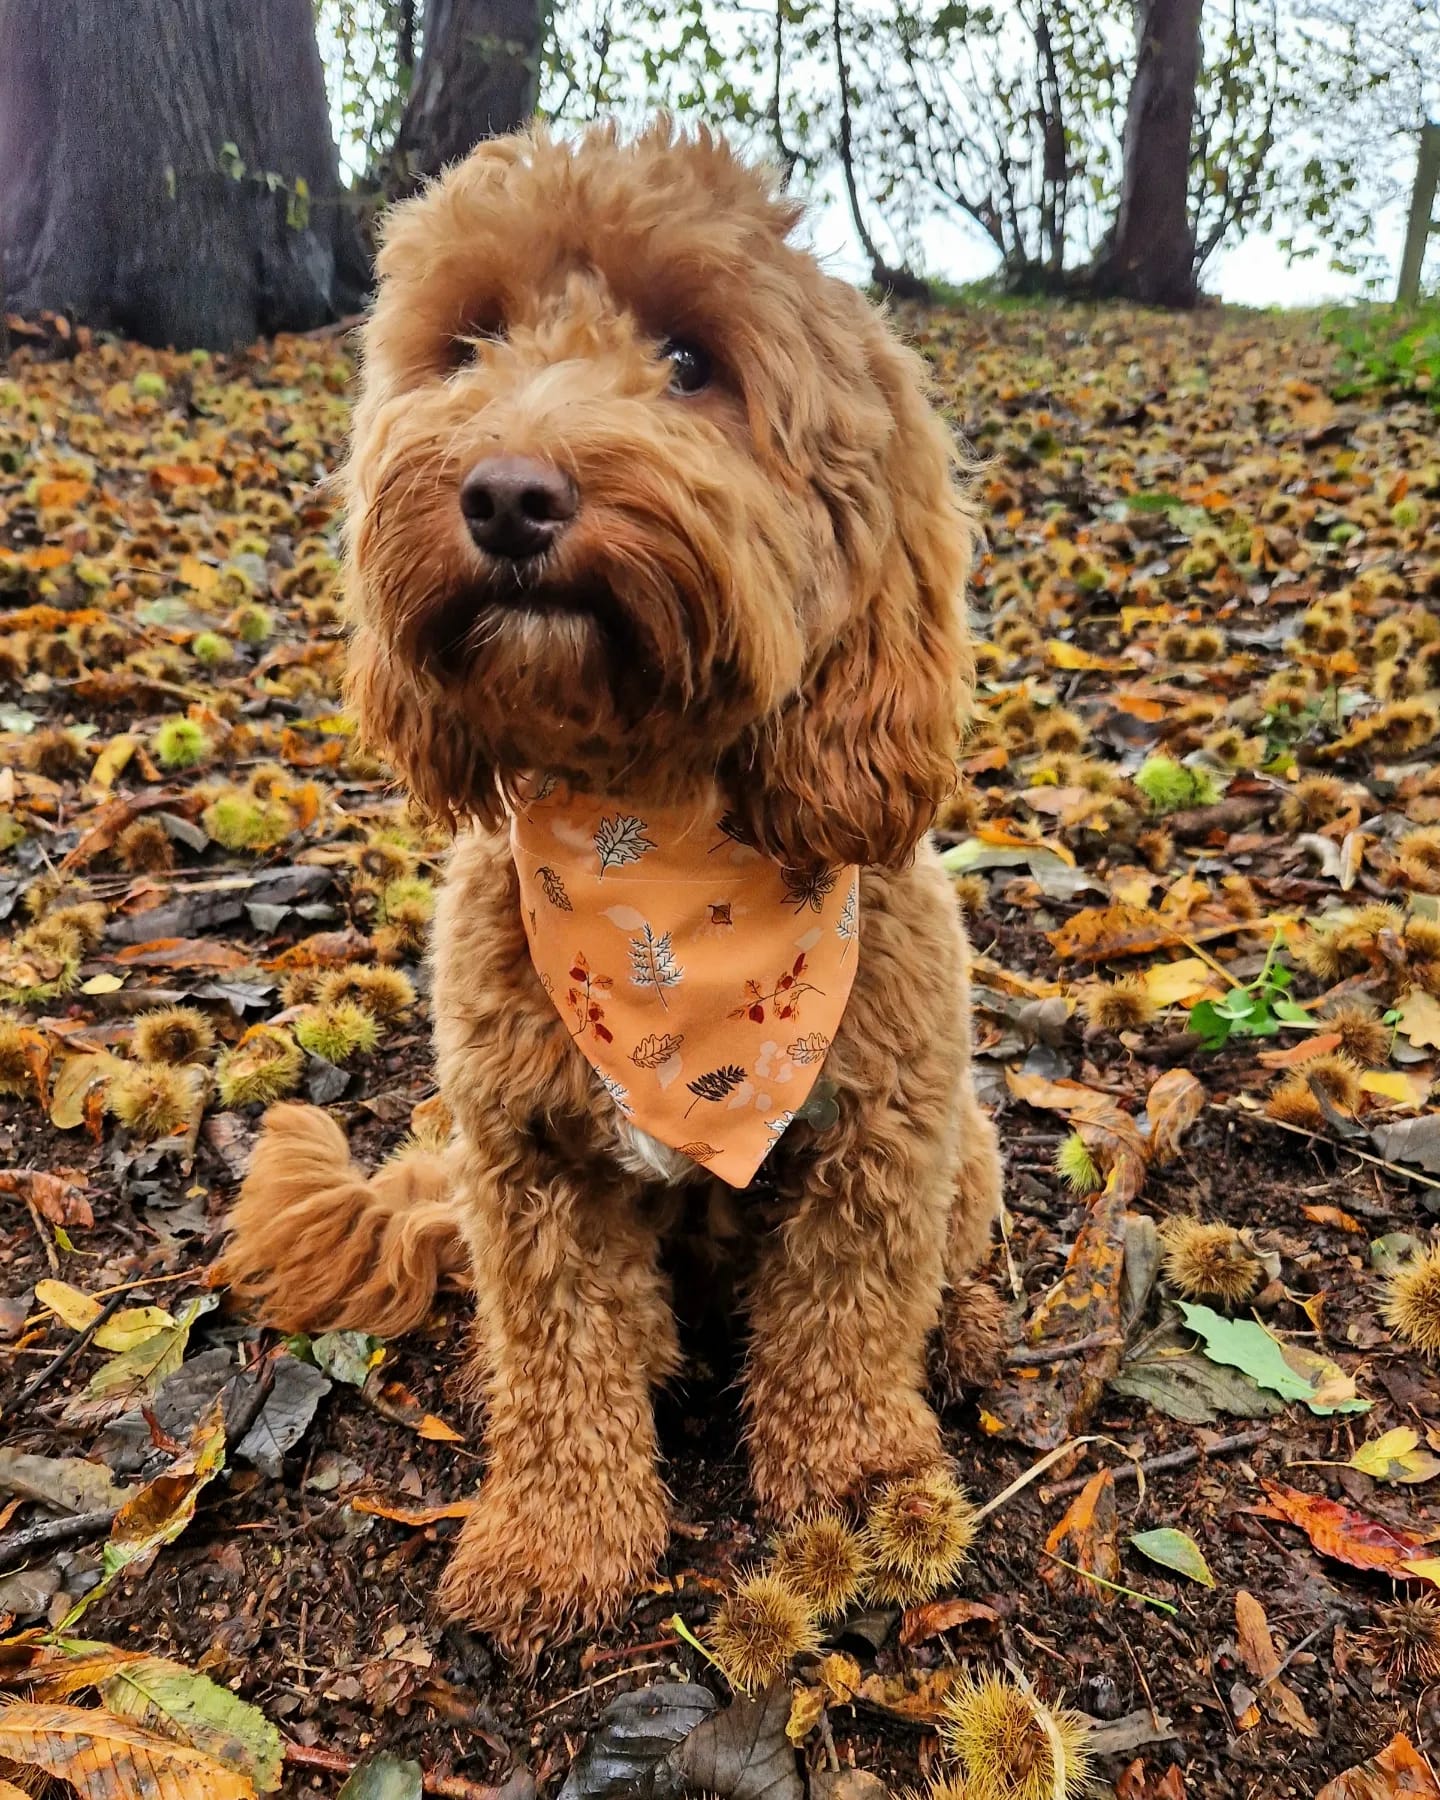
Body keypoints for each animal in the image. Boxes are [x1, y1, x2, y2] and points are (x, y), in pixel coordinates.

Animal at [227, 119, 1015, 1648]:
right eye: (468, 341)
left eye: (693, 360)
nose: (506, 492)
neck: (649, 841)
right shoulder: (530, 1165)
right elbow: (564, 1355)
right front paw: (556, 1542)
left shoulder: (879, 1139)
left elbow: (846, 1323)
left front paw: (861, 1494)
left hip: (972, 1145)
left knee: (951, 1263)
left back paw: (962, 1339)